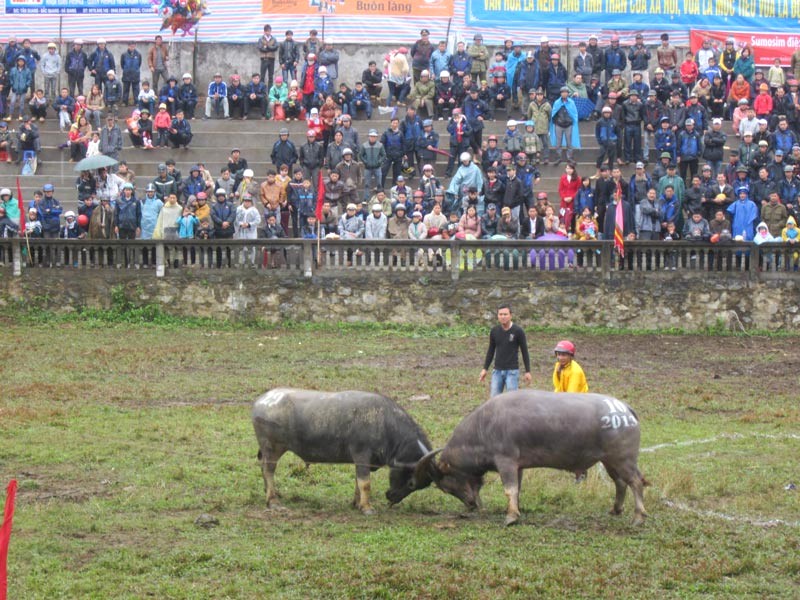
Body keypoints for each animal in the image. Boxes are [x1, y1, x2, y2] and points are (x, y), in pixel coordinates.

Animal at [253, 390, 434, 516]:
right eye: (411, 483)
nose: (392, 498)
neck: (385, 423)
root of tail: (260, 402)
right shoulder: (362, 455)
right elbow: (365, 483)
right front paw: (367, 508)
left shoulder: (361, 461)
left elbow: (357, 482)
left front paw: (357, 503)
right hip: (272, 448)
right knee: (268, 470)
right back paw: (273, 501)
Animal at [416, 390, 648, 524]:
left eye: (447, 487)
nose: (471, 505)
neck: (484, 426)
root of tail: (625, 409)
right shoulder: (518, 466)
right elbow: (517, 489)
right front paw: (515, 510)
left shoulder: (506, 462)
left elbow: (509, 489)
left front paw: (511, 517)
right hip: (609, 461)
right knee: (620, 483)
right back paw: (615, 510)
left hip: (623, 460)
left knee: (635, 482)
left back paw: (638, 517)